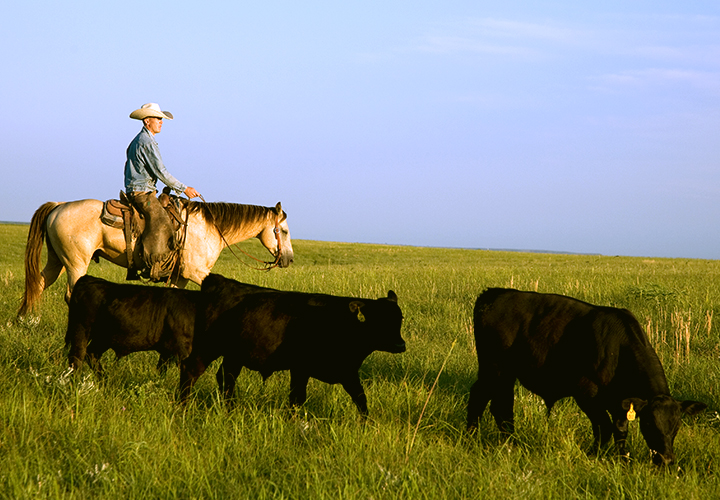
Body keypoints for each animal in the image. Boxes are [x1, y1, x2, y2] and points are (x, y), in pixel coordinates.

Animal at [66, 275, 200, 375]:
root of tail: (87, 279)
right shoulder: (183, 349)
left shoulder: (167, 352)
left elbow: (161, 370)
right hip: (81, 329)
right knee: (77, 357)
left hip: (103, 337)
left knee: (91, 354)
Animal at [180, 273, 406, 417]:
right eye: (378, 320)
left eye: (399, 319)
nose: (400, 344)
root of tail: (220, 281)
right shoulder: (300, 368)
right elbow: (297, 398)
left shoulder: (347, 371)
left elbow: (361, 398)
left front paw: (367, 424)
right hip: (208, 346)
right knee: (191, 370)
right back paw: (182, 407)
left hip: (234, 354)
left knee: (226, 378)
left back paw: (231, 409)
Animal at [466, 288, 706, 466]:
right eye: (648, 423)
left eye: (677, 425)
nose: (666, 460)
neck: (619, 348)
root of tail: (494, 293)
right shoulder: (586, 394)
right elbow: (604, 428)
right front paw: (593, 454)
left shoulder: (620, 402)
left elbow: (620, 430)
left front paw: (622, 460)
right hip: (495, 368)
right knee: (485, 398)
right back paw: (476, 438)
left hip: (503, 373)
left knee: (499, 404)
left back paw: (506, 441)